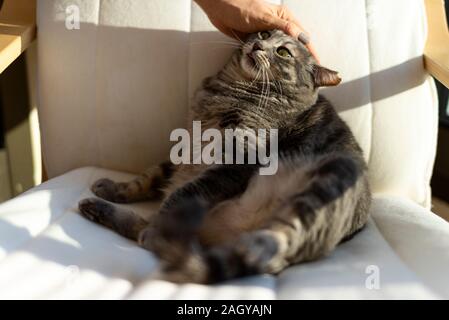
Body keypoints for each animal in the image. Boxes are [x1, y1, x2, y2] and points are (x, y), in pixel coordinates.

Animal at [78, 30, 372, 284]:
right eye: (265, 34)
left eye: (283, 52)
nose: (258, 45)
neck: (232, 91)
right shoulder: (185, 151)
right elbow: (147, 178)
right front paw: (113, 188)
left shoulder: (236, 160)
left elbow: (182, 193)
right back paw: (96, 208)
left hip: (332, 177)